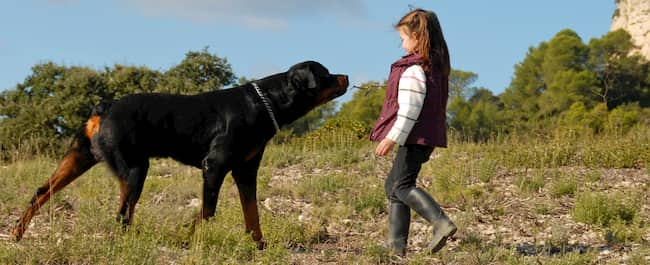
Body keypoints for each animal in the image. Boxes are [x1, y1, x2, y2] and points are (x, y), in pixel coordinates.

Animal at [10, 60, 346, 248]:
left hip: (79, 159)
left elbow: (252, 214)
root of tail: (104, 107)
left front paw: (259, 245)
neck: (267, 102)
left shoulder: (246, 172)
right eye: (327, 74)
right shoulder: (215, 167)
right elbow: (207, 212)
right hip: (135, 169)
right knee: (122, 215)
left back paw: (16, 233)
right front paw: (186, 239)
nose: (345, 76)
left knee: (41, 192)